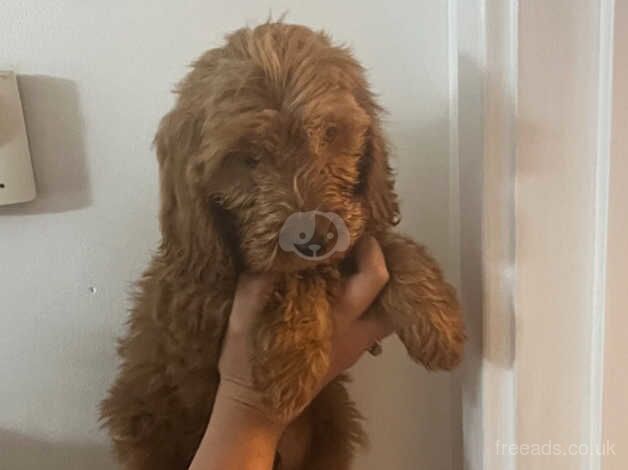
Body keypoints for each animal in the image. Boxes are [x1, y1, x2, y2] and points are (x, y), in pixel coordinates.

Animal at [100, 22, 466, 470]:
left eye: (331, 134)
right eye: (246, 158)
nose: (316, 238)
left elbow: (387, 245)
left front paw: (439, 323)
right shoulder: (209, 296)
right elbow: (290, 276)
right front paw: (290, 369)